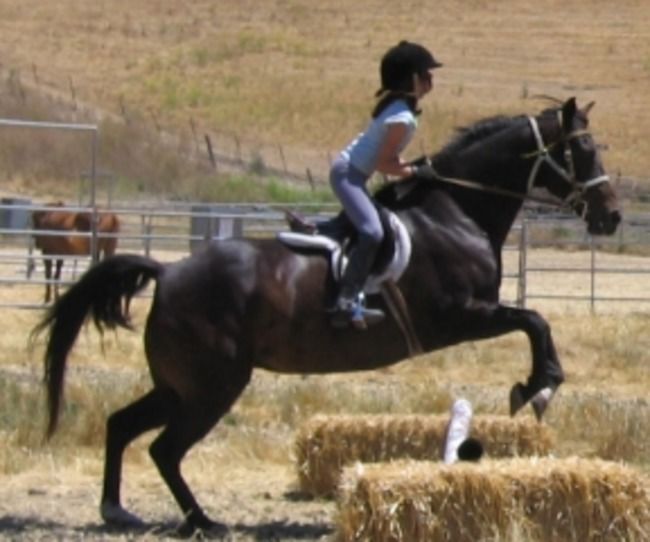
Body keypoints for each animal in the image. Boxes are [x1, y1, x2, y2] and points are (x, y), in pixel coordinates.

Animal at [34, 99, 616, 536]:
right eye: (583, 149)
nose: (610, 216)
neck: (456, 212)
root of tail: (167, 271)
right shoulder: (459, 317)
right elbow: (534, 319)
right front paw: (539, 386)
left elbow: (533, 320)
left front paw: (536, 386)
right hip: (212, 386)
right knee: (164, 448)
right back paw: (203, 520)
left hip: (180, 385)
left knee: (122, 425)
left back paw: (116, 510)